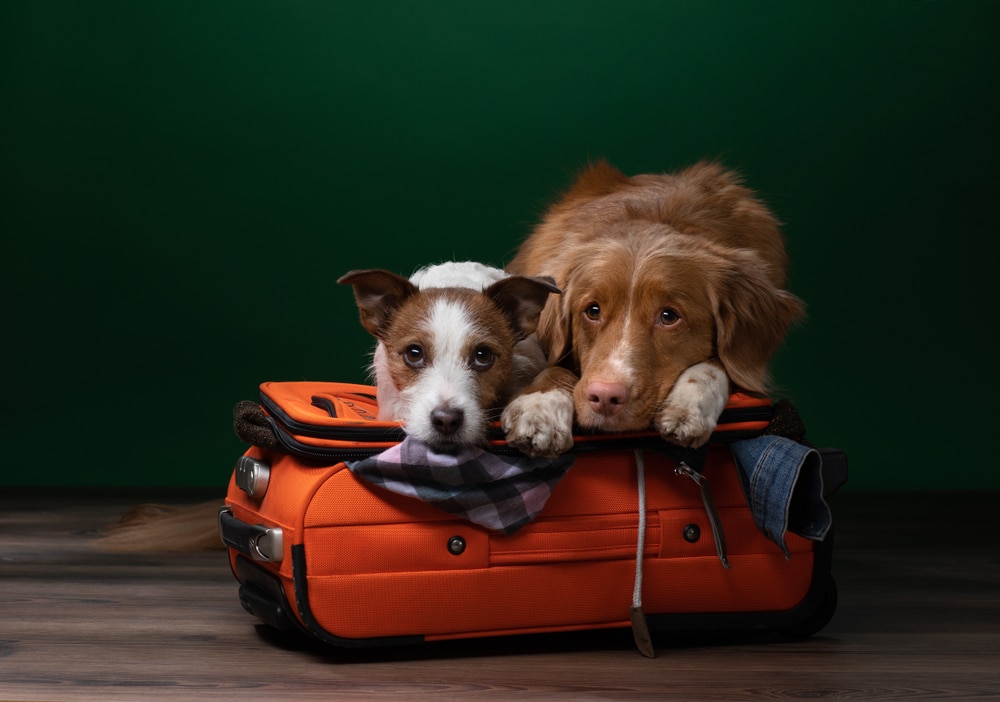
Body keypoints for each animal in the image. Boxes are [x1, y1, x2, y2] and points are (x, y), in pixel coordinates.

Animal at [500, 160, 804, 460]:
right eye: (593, 311)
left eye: (668, 316)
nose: (606, 397)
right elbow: (553, 368)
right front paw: (538, 407)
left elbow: (721, 363)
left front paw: (689, 403)